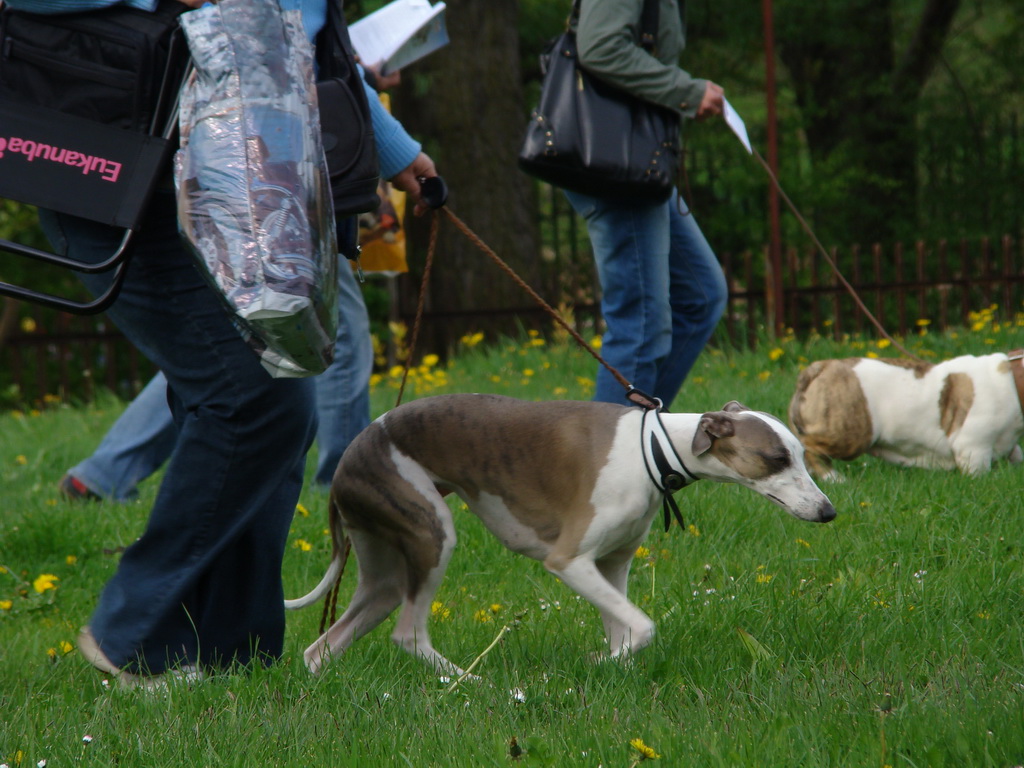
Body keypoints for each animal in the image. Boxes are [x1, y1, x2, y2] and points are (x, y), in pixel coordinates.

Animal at [284, 393, 835, 675]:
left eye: (800, 454)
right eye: (777, 458)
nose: (828, 512)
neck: (653, 449)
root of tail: (346, 460)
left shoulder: (612, 565)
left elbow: (627, 630)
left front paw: (610, 669)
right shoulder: (569, 561)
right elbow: (644, 627)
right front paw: (596, 663)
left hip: (384, 571)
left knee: (322, 647)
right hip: (430, 535)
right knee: (408, 633)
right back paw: (470, 683)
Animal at [786, 350, 1024, 481]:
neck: (1014, 381)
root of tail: (819, 367)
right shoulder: (974, 449)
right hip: (849, 435)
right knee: (809, 447)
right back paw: (834, 478)